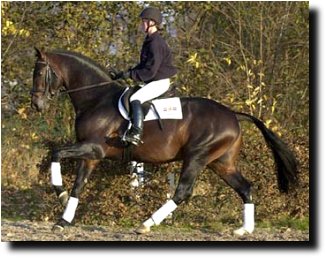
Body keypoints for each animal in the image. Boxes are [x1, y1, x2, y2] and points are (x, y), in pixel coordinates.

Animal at [30, 47, 296, 236]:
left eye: (40, 73)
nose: (36, 105)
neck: (96, 99)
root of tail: (233, 114)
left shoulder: (93, 149)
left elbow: (56, 153)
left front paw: (60, 196)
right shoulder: (91, 155)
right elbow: (78, 184)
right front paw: (63, 218)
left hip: (197, 157)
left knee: (183, 191)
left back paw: (146, 224)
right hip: (221, 162)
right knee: (245, 187)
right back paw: (244, 230)